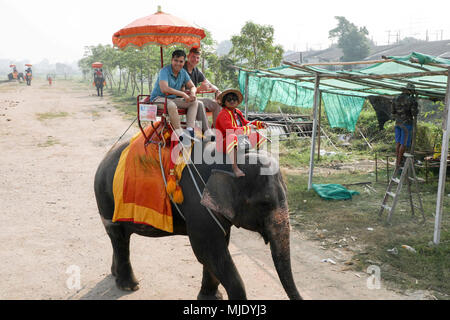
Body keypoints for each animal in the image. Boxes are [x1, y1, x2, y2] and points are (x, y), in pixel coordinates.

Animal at [94, 138, 302, 300]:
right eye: (264, 203)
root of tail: (106, 156)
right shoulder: (198, 204)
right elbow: (207, 250)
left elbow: (217, 249)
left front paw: (211, 297)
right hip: (106, 200)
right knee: (119, 237)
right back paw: (130, 286)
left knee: (121, 239)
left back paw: (115, 274)